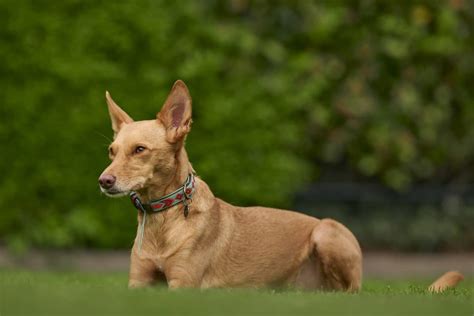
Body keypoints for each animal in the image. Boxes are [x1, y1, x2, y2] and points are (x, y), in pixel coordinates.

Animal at [97, 81, 462, 292]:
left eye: (140, 150)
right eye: (112, 151)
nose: (104, 181)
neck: (163, 220)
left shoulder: (182, 285)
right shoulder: (137, 283)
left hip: (326, 231)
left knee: (348, 295)